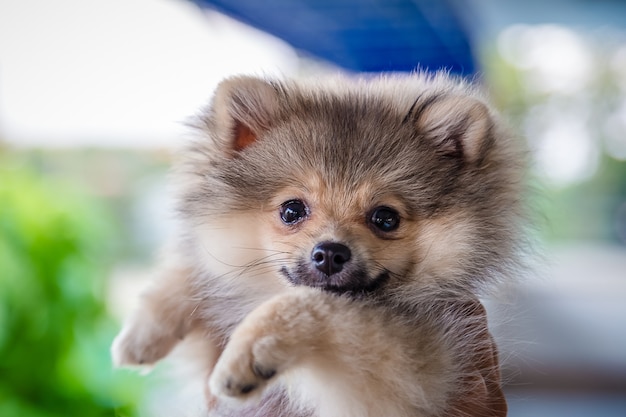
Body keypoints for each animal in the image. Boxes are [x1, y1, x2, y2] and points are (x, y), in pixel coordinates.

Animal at [111, 72, 520, 416]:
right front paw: (141, 333)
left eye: (385, 218)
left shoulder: (413, 373)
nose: (330, 252)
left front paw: (248, 351)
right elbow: (196, 269)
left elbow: (314, 306)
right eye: (292, 210)